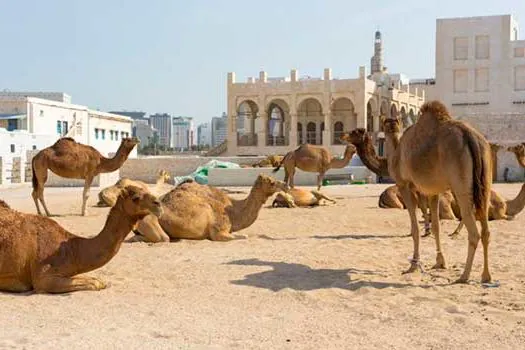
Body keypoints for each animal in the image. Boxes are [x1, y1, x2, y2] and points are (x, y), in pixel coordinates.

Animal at [0, 185, 162, 294]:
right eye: (135, 198)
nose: (158, 204)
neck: (72, 250)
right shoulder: (43, 279)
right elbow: (95, 284)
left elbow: (98, 281)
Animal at [130, 174, 286, 243]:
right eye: (272, 182)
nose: (285, 184)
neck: (232, 211)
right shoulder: (219, 231)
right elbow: (242, 236)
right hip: (150, 221)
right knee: (162, 238)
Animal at [380, 100, 492, 284]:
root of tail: (471, 136)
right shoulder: (433, 191)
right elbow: (436, 226)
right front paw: (440, 262)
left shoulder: (405, 185)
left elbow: (415, 228)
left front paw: (413, 265)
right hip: (485, 182)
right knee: (486, 230)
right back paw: (486, 276)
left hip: (460, 183)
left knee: (474, 232)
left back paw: (464, 276)